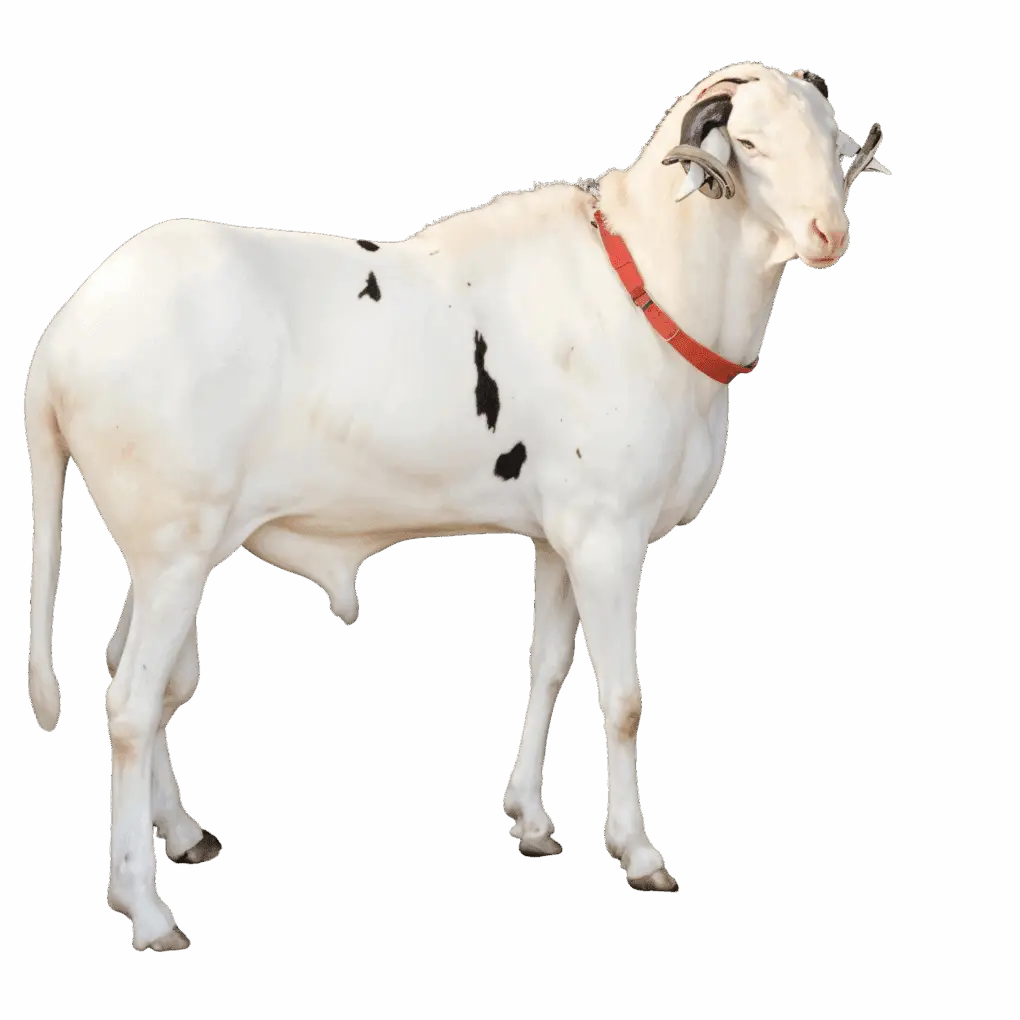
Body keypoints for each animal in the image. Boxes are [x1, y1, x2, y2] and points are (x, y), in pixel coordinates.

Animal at [24, 60, 889, 952]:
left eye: (830, 137)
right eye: (749, 141)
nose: (828, 231)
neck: (644, 290)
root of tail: (65, 334)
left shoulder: (561, 536)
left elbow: (550, 667)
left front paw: (531, 817)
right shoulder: (611, 535)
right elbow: (624, 701)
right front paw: (638, 850)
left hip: (168, 552)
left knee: (139, 674)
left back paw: (182, 834)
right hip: (172, 552)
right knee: (131, 705)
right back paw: (144, 905)